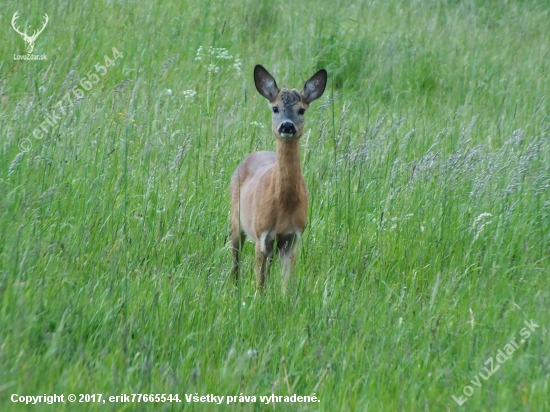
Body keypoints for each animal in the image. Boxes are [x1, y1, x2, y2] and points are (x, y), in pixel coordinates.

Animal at [230, 64, 328, 292]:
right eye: (275, 108)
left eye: (301, 109)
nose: (287, 126)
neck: (283, 205)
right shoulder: (261, 234)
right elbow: (259, 282)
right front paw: (257, 298)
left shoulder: (293, 237)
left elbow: (287, 284)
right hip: (236, 220)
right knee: (235, 258)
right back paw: (234, 288)